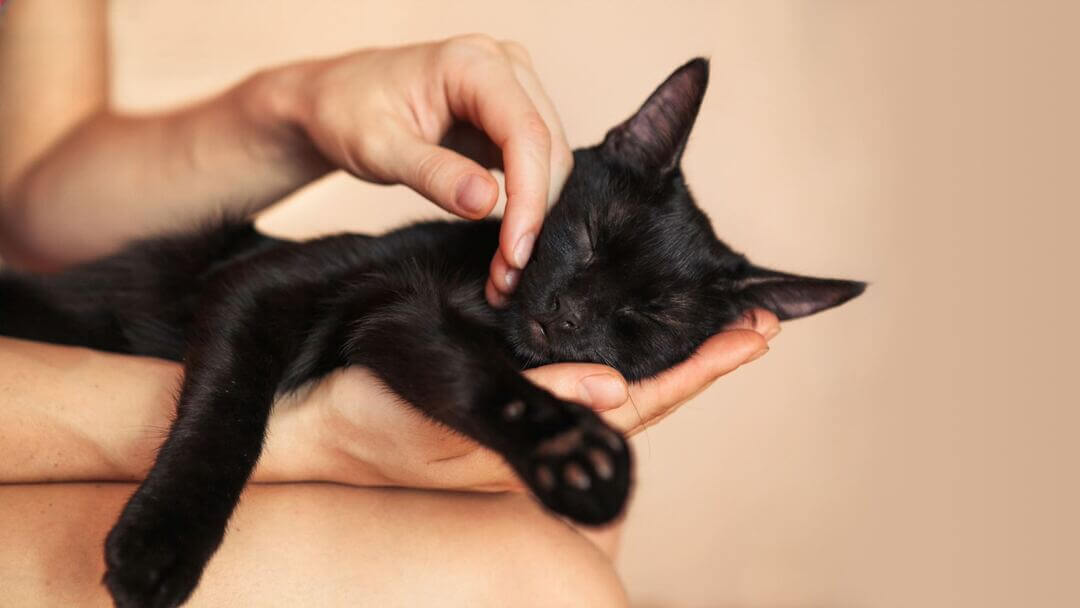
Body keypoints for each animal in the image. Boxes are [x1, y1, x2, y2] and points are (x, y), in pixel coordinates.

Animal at [0, 58, 859, 608]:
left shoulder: (402, 324)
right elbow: (228, 412)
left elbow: (473, 375)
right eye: (589, 237)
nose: (567, 316)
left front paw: (571, 457)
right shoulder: (267, 284)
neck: (478, 300)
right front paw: (158, 546)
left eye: (650, 317)